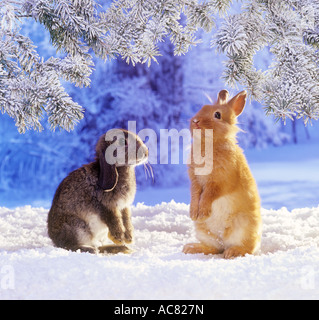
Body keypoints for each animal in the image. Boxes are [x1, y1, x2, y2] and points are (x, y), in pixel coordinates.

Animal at [185, 90, 262, 260]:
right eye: (202, 108)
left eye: (217, 115)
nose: (195, 121)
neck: (208, 144)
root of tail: (223, 241)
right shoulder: (195, 180)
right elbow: (195, 193)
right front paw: (194, 213)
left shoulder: (220, 181)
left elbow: (209, 194)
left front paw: (202, 212)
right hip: (204, 232)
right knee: (214, 248)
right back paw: (190, 248)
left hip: (243, 228)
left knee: (246, 248)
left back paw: (232, 252)